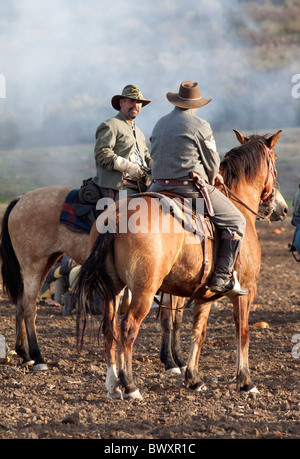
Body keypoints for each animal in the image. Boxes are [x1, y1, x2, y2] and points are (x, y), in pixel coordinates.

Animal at [73, 129, 286, 398]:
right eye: (275, 162)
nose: (282, 208)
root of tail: (119, 214)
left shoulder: (205, 295)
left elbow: (198, 333)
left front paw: (193, 378)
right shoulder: (247, 291)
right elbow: (243, 333)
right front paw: (246, 381)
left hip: (112, 288)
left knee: (109, 329)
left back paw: (113, 384)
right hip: (144, 291)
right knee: (128, 328)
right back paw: (130, 386)